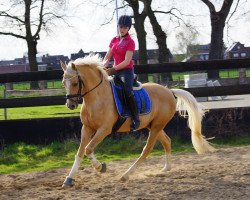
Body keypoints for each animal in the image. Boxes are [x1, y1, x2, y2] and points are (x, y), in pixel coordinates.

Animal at [60, 54, 215, 187]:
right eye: (63, 83)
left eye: (75, 83)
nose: (70, 105)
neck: (97, 97)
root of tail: (170, 91)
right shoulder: (86, 128)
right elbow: (80, 152)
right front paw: (69, 179)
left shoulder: (104, 129)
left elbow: (88, 149)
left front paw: (100, 167)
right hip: (153, 126)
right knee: (167, 141)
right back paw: (166, 168)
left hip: (157, 126)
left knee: (147, 149)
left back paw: (126, 175)